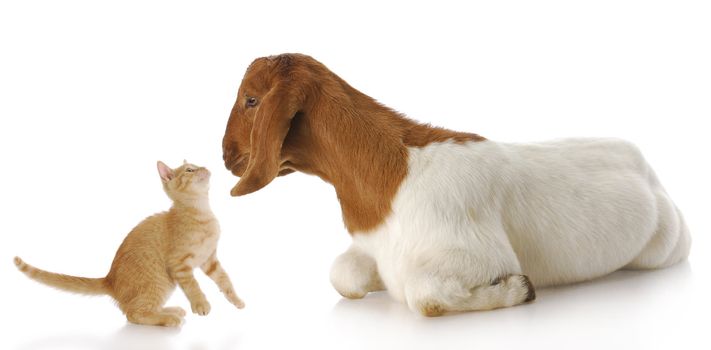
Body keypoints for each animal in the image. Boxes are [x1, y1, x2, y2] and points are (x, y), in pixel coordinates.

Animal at [13, 160, 245, 326]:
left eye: (198, 164)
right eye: (189, 170)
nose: (205, 168)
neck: (200, 211)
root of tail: (110, 279)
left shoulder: (210, 259)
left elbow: (225, 280)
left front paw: (236, 300)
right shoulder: (179, 264)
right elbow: (193, 286)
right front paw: (201, 303)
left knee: (140, 309)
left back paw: (169, 310)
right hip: (159, 281)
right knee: (134, 314)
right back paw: (168, 318)